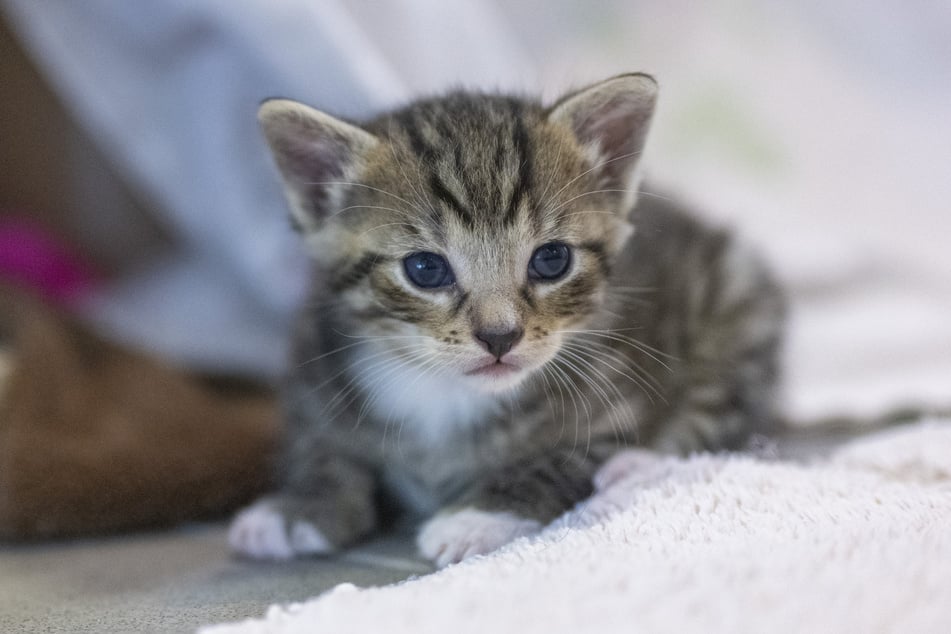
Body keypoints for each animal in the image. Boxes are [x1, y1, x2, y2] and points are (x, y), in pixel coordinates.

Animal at [231, 73, 788, 564]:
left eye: (551, 260)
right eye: (425, 269)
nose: (500, 336)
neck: (444, 395)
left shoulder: (622, 399)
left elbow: (559, 460)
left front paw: (477, 516)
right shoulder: (314, 376)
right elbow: (320, 448)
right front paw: (297, 508)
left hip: (738, 304)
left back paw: (633, 474)